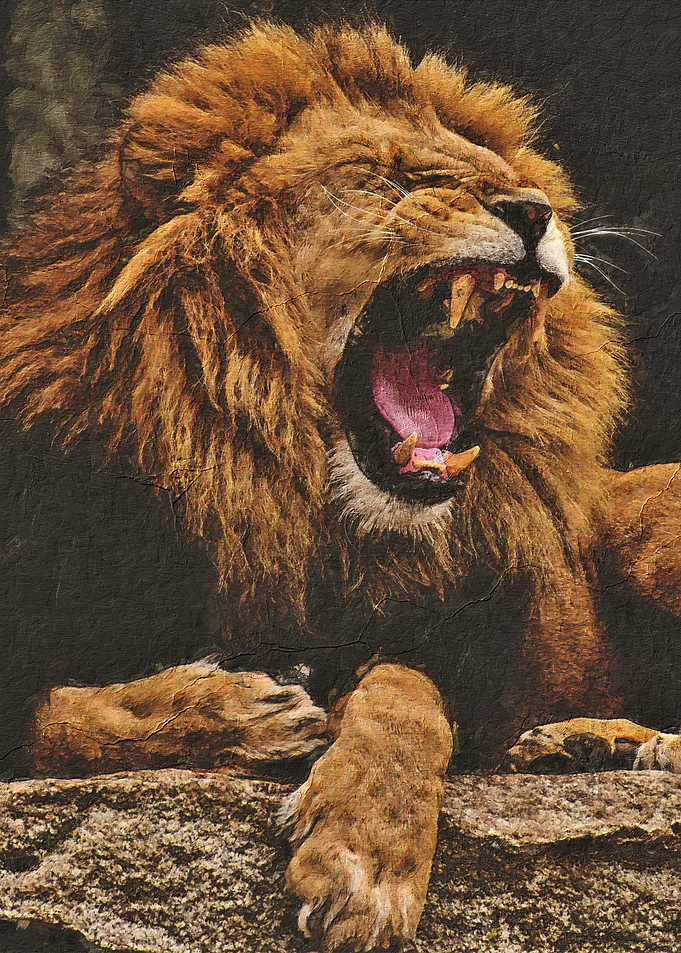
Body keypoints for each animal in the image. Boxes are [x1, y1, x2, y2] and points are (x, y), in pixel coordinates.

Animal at [1, 19, 681, 952]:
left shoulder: (454, 642)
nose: (535, 211)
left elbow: (404, 689)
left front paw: (362, 860)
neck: (278, 499)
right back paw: (577, 746)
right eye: (391, 174)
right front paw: (235, 715)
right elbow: (54, 718)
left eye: (515, 181)